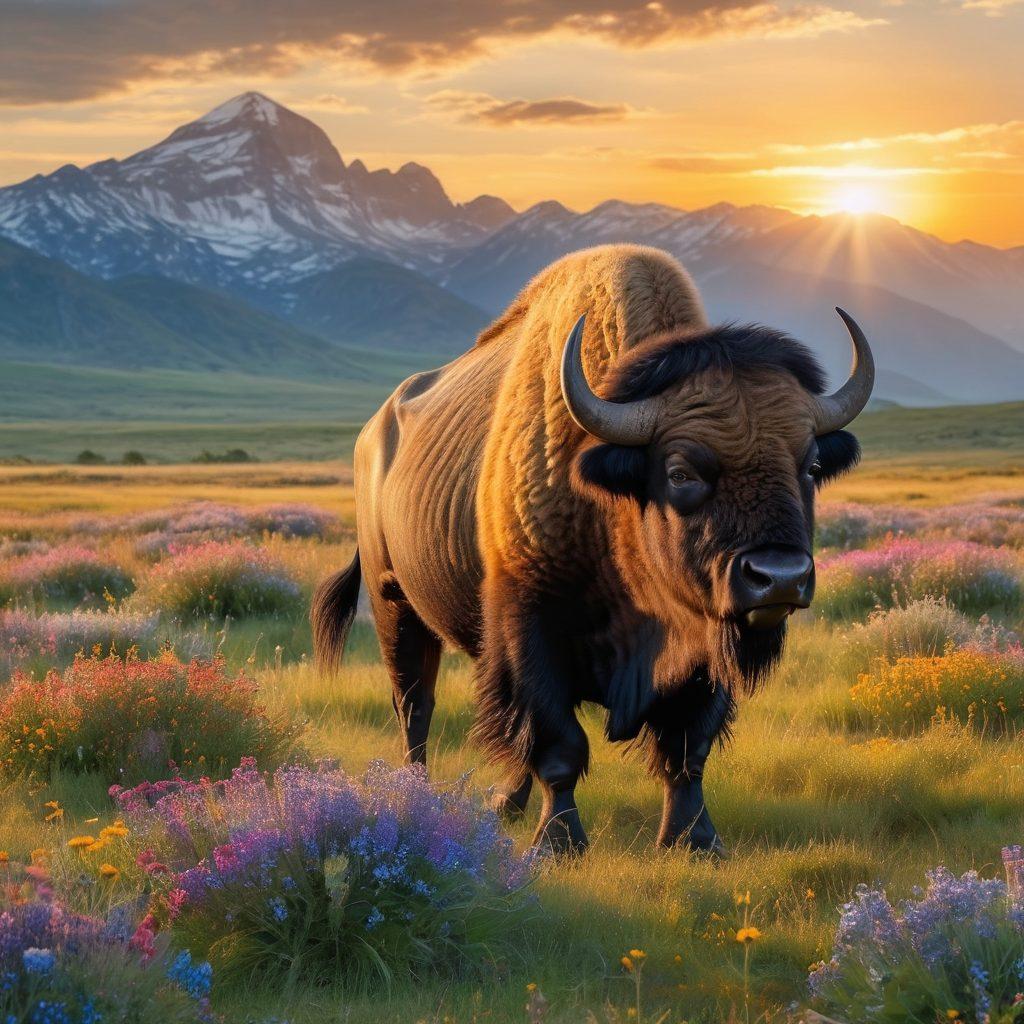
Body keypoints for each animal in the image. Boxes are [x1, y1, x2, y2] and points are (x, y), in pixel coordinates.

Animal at [312, 244, 874, 856]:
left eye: (811, 466)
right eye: (679, 472)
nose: (779, 577)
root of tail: (373, 432)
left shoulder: (703, 647)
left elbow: (687, 749)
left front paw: (695, 841)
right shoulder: (531, 628)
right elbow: (560, 745)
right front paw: (560, 842)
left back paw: (504, 804)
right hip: (395, 601)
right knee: (415, 704)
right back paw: (419, 796)